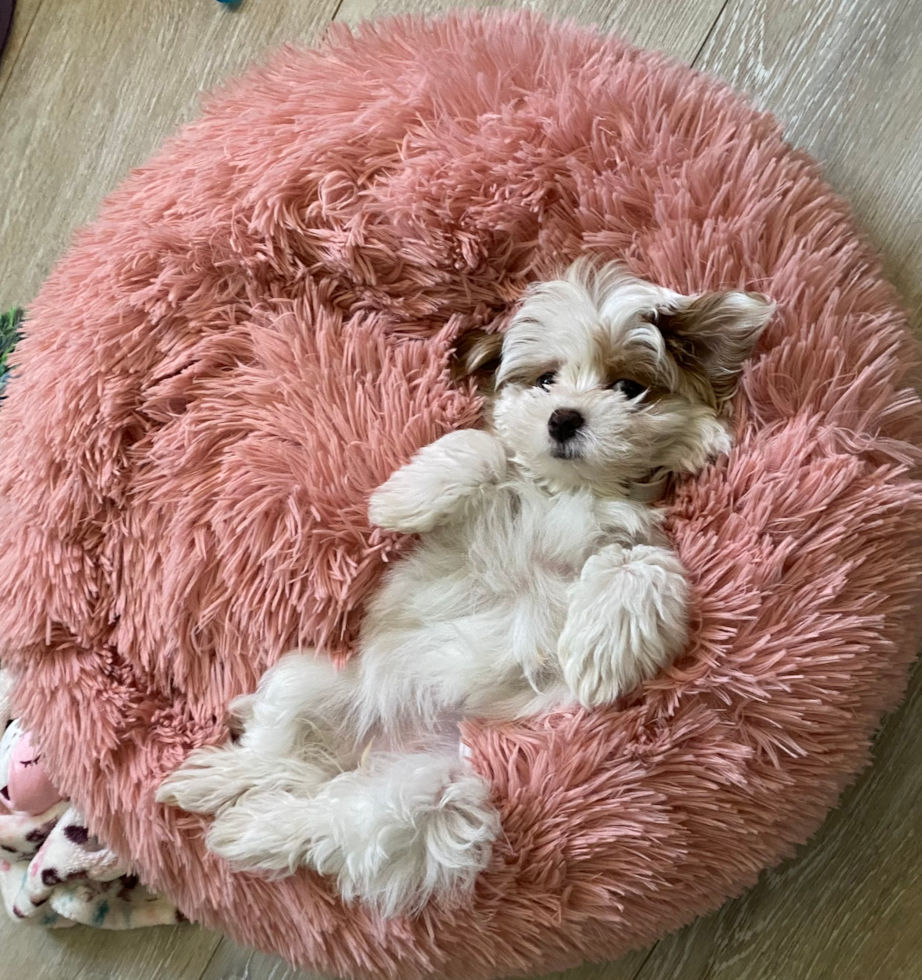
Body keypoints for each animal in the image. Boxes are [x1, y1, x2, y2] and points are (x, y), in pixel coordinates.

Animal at [156, 260, 768, 920]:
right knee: (275, 748)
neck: (574, 490)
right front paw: (399, 500)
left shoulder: (641, 541)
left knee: (335, 817)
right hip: (312, 683)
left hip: (437, 790)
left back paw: (250, 825)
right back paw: (216, 783)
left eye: (629, 387)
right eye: (545, 379)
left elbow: (642, 567)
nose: (564, 417)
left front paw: (599, 661)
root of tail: (362, 752)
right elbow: (482, 448)